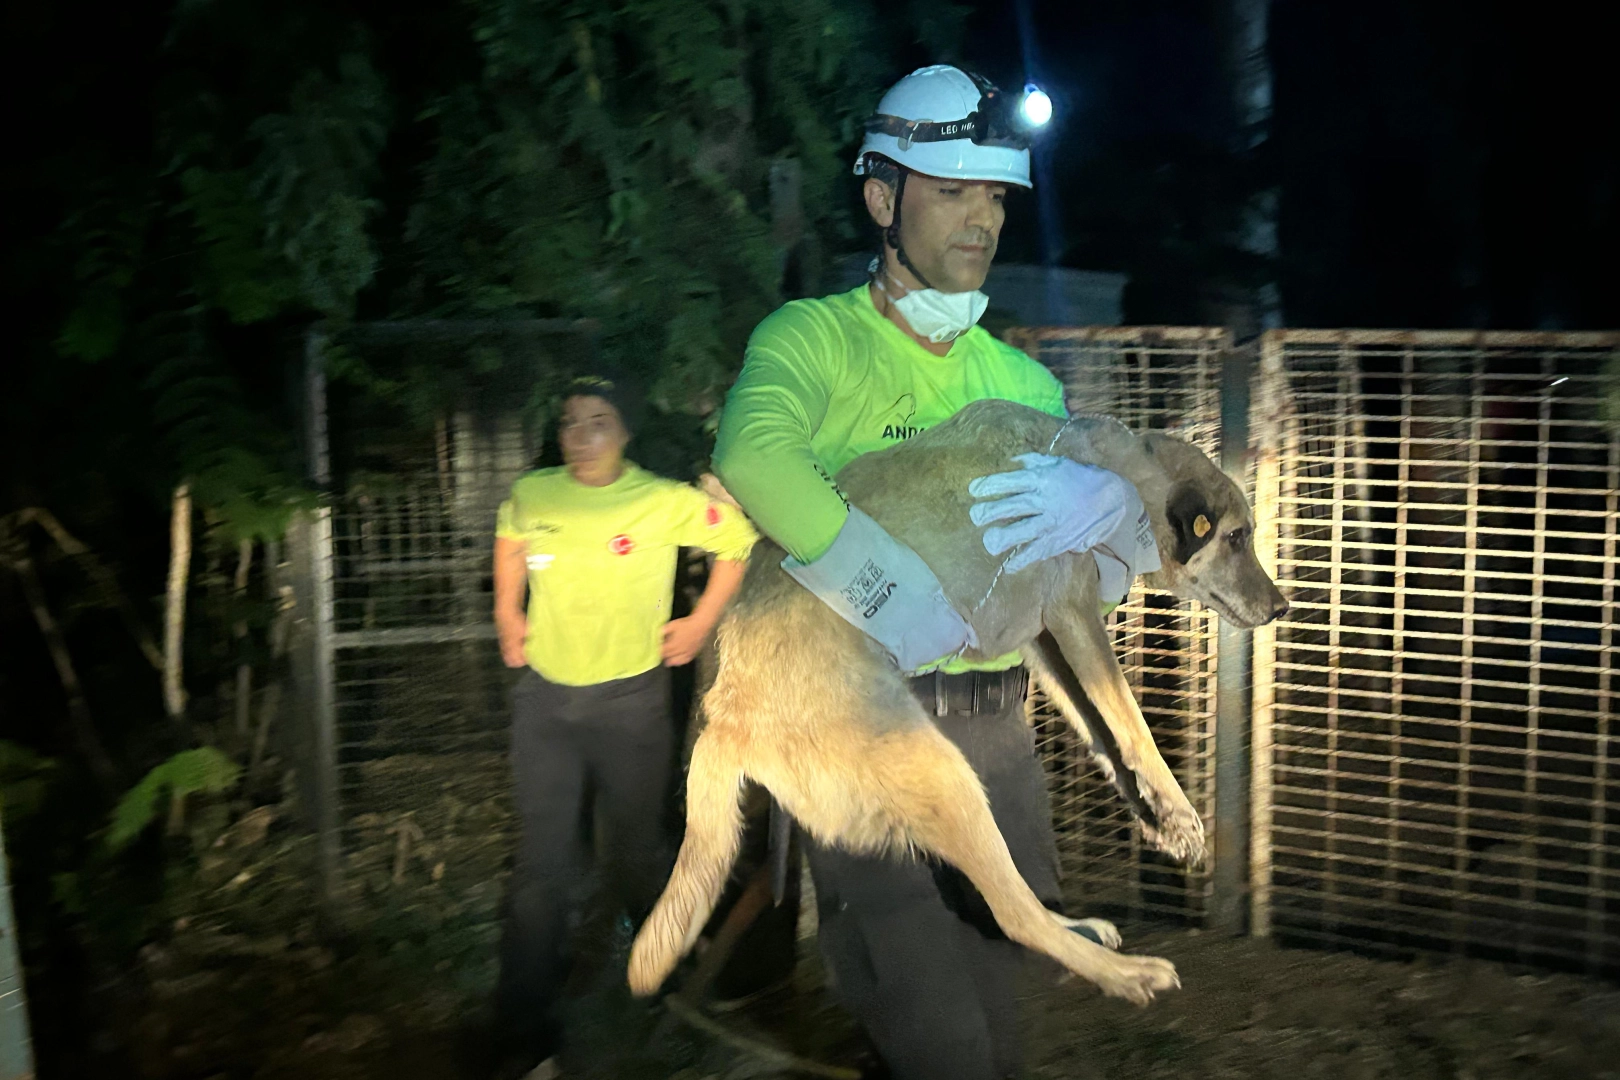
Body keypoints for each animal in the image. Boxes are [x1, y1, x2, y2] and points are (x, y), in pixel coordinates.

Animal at [625, 401, 1283, 1010]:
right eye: (1237, 537)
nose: (1282, 608)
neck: (1114, 466)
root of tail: (727, 717)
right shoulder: (1074, 617)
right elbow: (1132, 726)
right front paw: (1181, 812)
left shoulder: (1045, 643)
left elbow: (1103, 735)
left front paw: (1160, 820)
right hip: (947, 778)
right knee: (1014, 914)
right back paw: (1125, 975)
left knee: (1010, 904)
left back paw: (1083, 931)